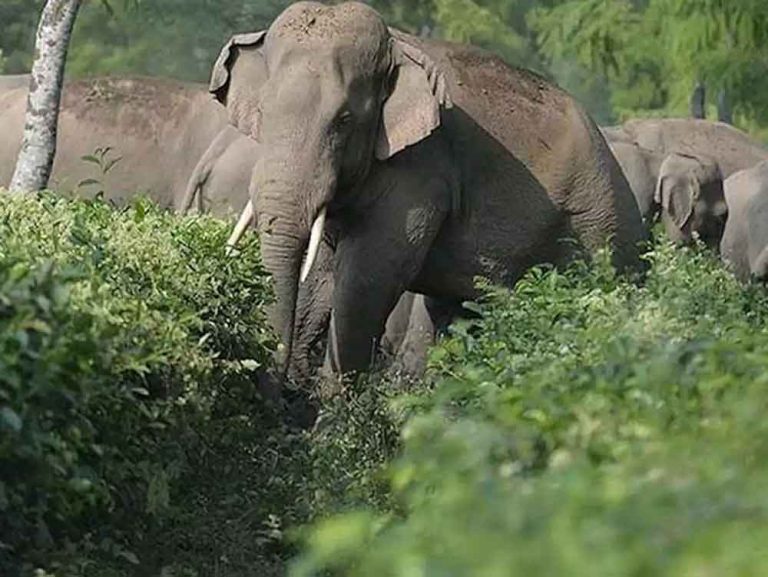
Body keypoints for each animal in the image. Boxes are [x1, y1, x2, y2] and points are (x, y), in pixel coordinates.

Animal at [216, 2, 648, 378]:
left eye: (344, 120)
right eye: (263, 111)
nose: (272, 380)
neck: (396, 46)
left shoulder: (422, 169)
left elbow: (366, 281)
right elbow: (320, 276)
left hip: (600, 231)